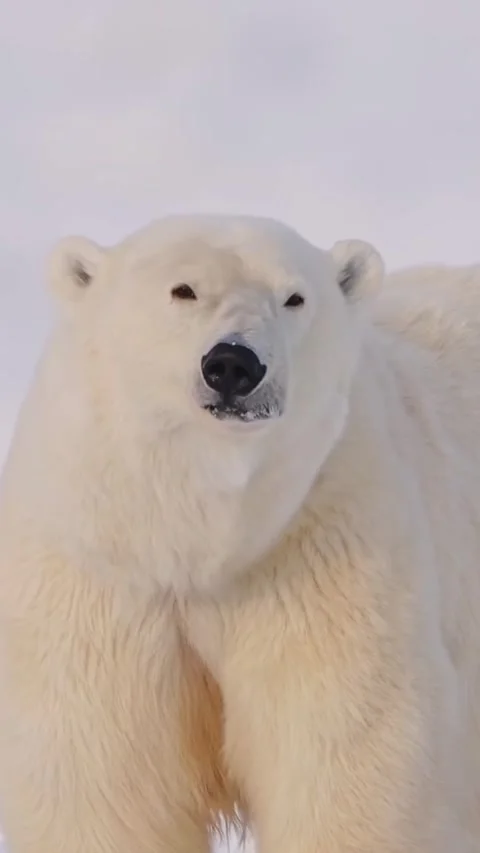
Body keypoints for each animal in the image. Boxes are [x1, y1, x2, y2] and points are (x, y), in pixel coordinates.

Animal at [0, 214, 479, 853]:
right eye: (183, 290)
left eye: (294, 297)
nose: (233, 364)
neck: (199, 540)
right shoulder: (99, 571)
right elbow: (101, 784)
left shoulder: (323, 546)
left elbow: (348, 760)